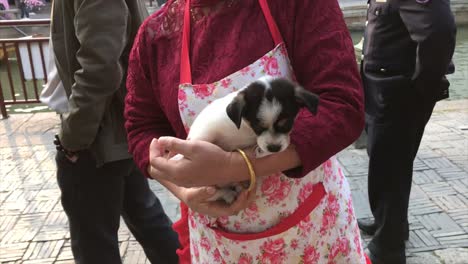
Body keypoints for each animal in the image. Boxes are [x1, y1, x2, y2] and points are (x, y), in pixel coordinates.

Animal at [177, 75, 320, 203]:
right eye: (257, 126)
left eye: (287, 123)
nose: (273, 148)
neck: (247, 130)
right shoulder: (205, 130)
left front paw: (263, 151)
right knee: (210, 193)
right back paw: (228, 194)